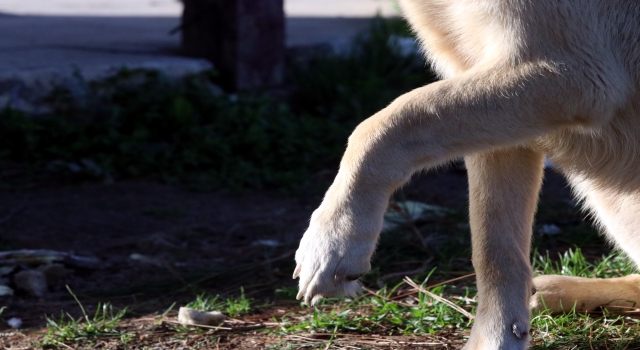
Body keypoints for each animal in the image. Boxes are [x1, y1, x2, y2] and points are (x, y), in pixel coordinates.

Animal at [294, 1, 640, 348]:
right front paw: (499, 337)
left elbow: (381, 125)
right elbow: (494, 248)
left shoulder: (573, 72)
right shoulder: (483, 85)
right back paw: (551, 291)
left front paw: (331, 245)